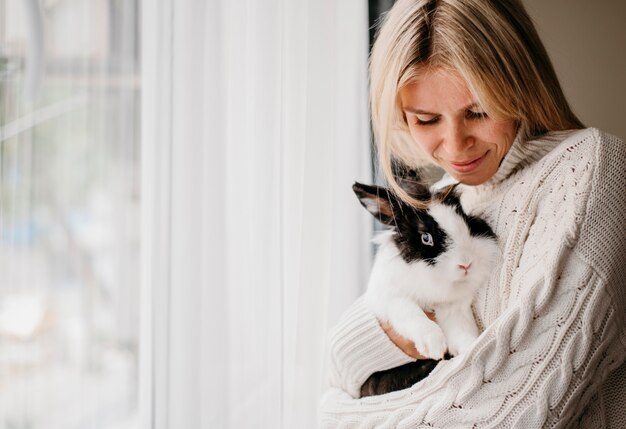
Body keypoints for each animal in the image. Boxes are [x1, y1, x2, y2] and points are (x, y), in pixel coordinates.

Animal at [352, 177, 498, 394]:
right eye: (426, 238)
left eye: (466, 222)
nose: (466, 264)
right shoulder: (390, 298)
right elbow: (411, 312)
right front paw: (433, 344)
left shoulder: (454, 307)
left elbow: (461, 331)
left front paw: (471, 349)